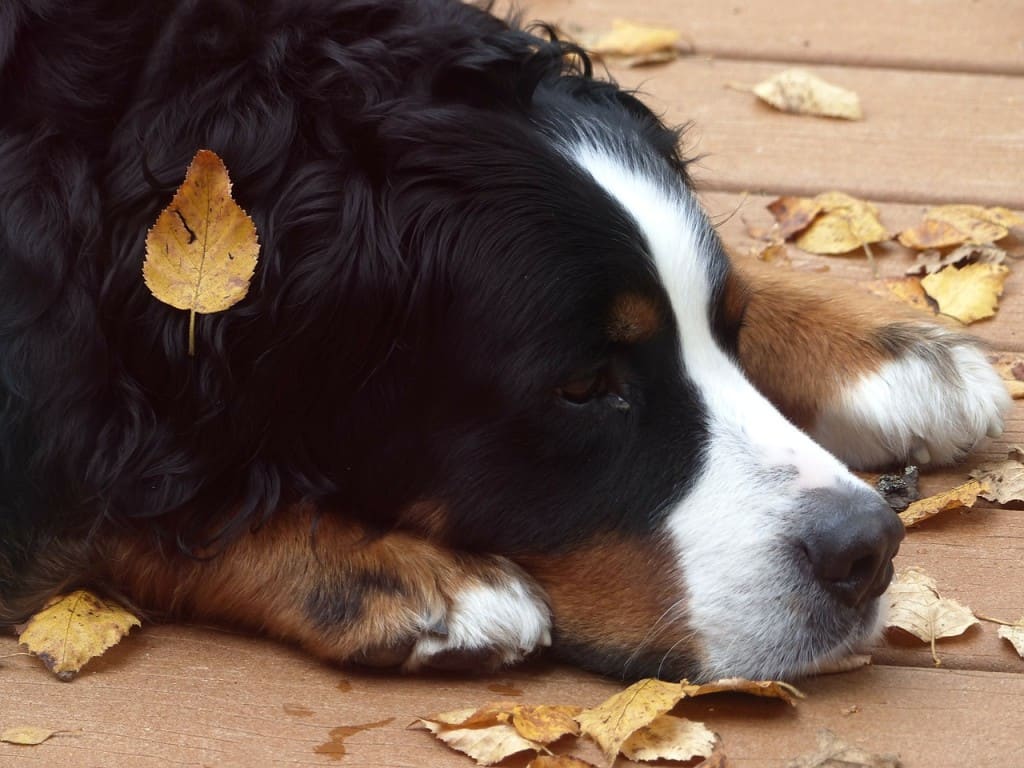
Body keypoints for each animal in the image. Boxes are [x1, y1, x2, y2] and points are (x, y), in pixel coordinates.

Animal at [0, 0, 1007, 684]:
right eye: (582, 387)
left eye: (724, 329)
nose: (867, 549)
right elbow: (125, 502)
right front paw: (413, 578)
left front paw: (888, 351)